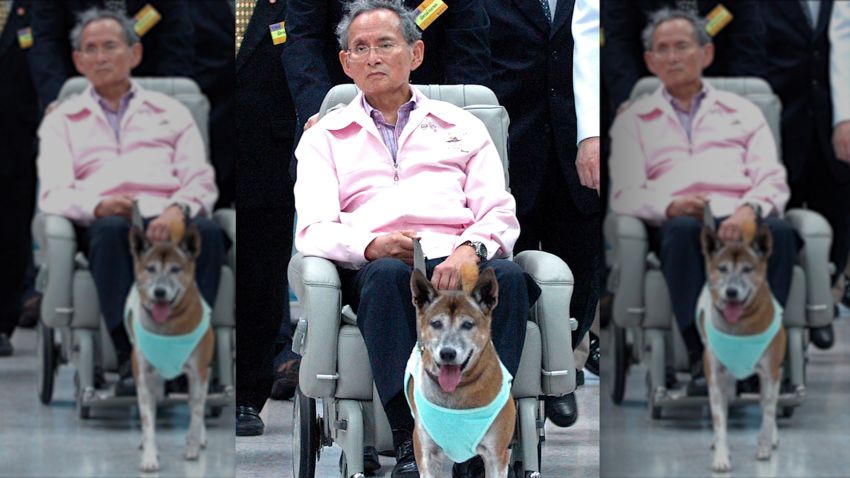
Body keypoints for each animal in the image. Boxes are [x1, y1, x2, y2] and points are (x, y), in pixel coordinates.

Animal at [128, 221, 217, 474]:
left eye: (176, 269)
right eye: (150, 269)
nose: (159, 292)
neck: (167, 326)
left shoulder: (198, 373)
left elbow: (196, 412)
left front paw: (193, 447)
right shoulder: (143, 374)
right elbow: (148, 418)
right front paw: (150, 456)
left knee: (197, 404)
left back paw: (198, 438)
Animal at [406, 264, 516, 476]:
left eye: (467, 324)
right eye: (436, 323)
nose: (447, 353)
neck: (458, 388)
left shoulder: (496, 455)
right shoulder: (426, 453)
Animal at [700, 222, 784, 472]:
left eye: (748, 269)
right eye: (722, 268)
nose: (731, 292)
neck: (739, 326)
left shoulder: (770, 373)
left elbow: (768, 414)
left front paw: (764, 446)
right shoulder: (715, 376)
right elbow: (719, 420)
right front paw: (721, 455)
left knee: (768, 404)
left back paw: (771, 438)